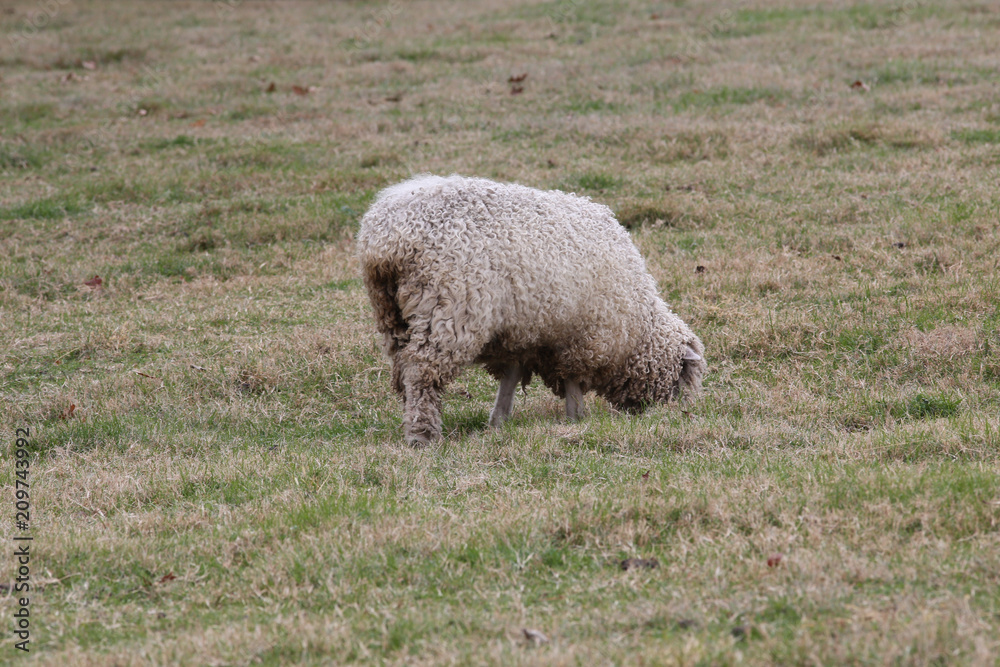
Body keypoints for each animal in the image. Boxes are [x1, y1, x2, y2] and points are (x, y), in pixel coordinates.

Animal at [357, 174, 706, 447]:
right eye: (683, 380)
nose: (678, 416)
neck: (640, 325)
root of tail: (388, 238)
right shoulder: (582, 337)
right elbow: (573, 381)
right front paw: (577, 419)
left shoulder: (522, 334)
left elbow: (511, 377)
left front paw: (498, 420)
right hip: (448, 309)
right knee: (421, 372)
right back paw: (423, 434)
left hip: (392, 314)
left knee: (403, 370)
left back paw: (412, 419)